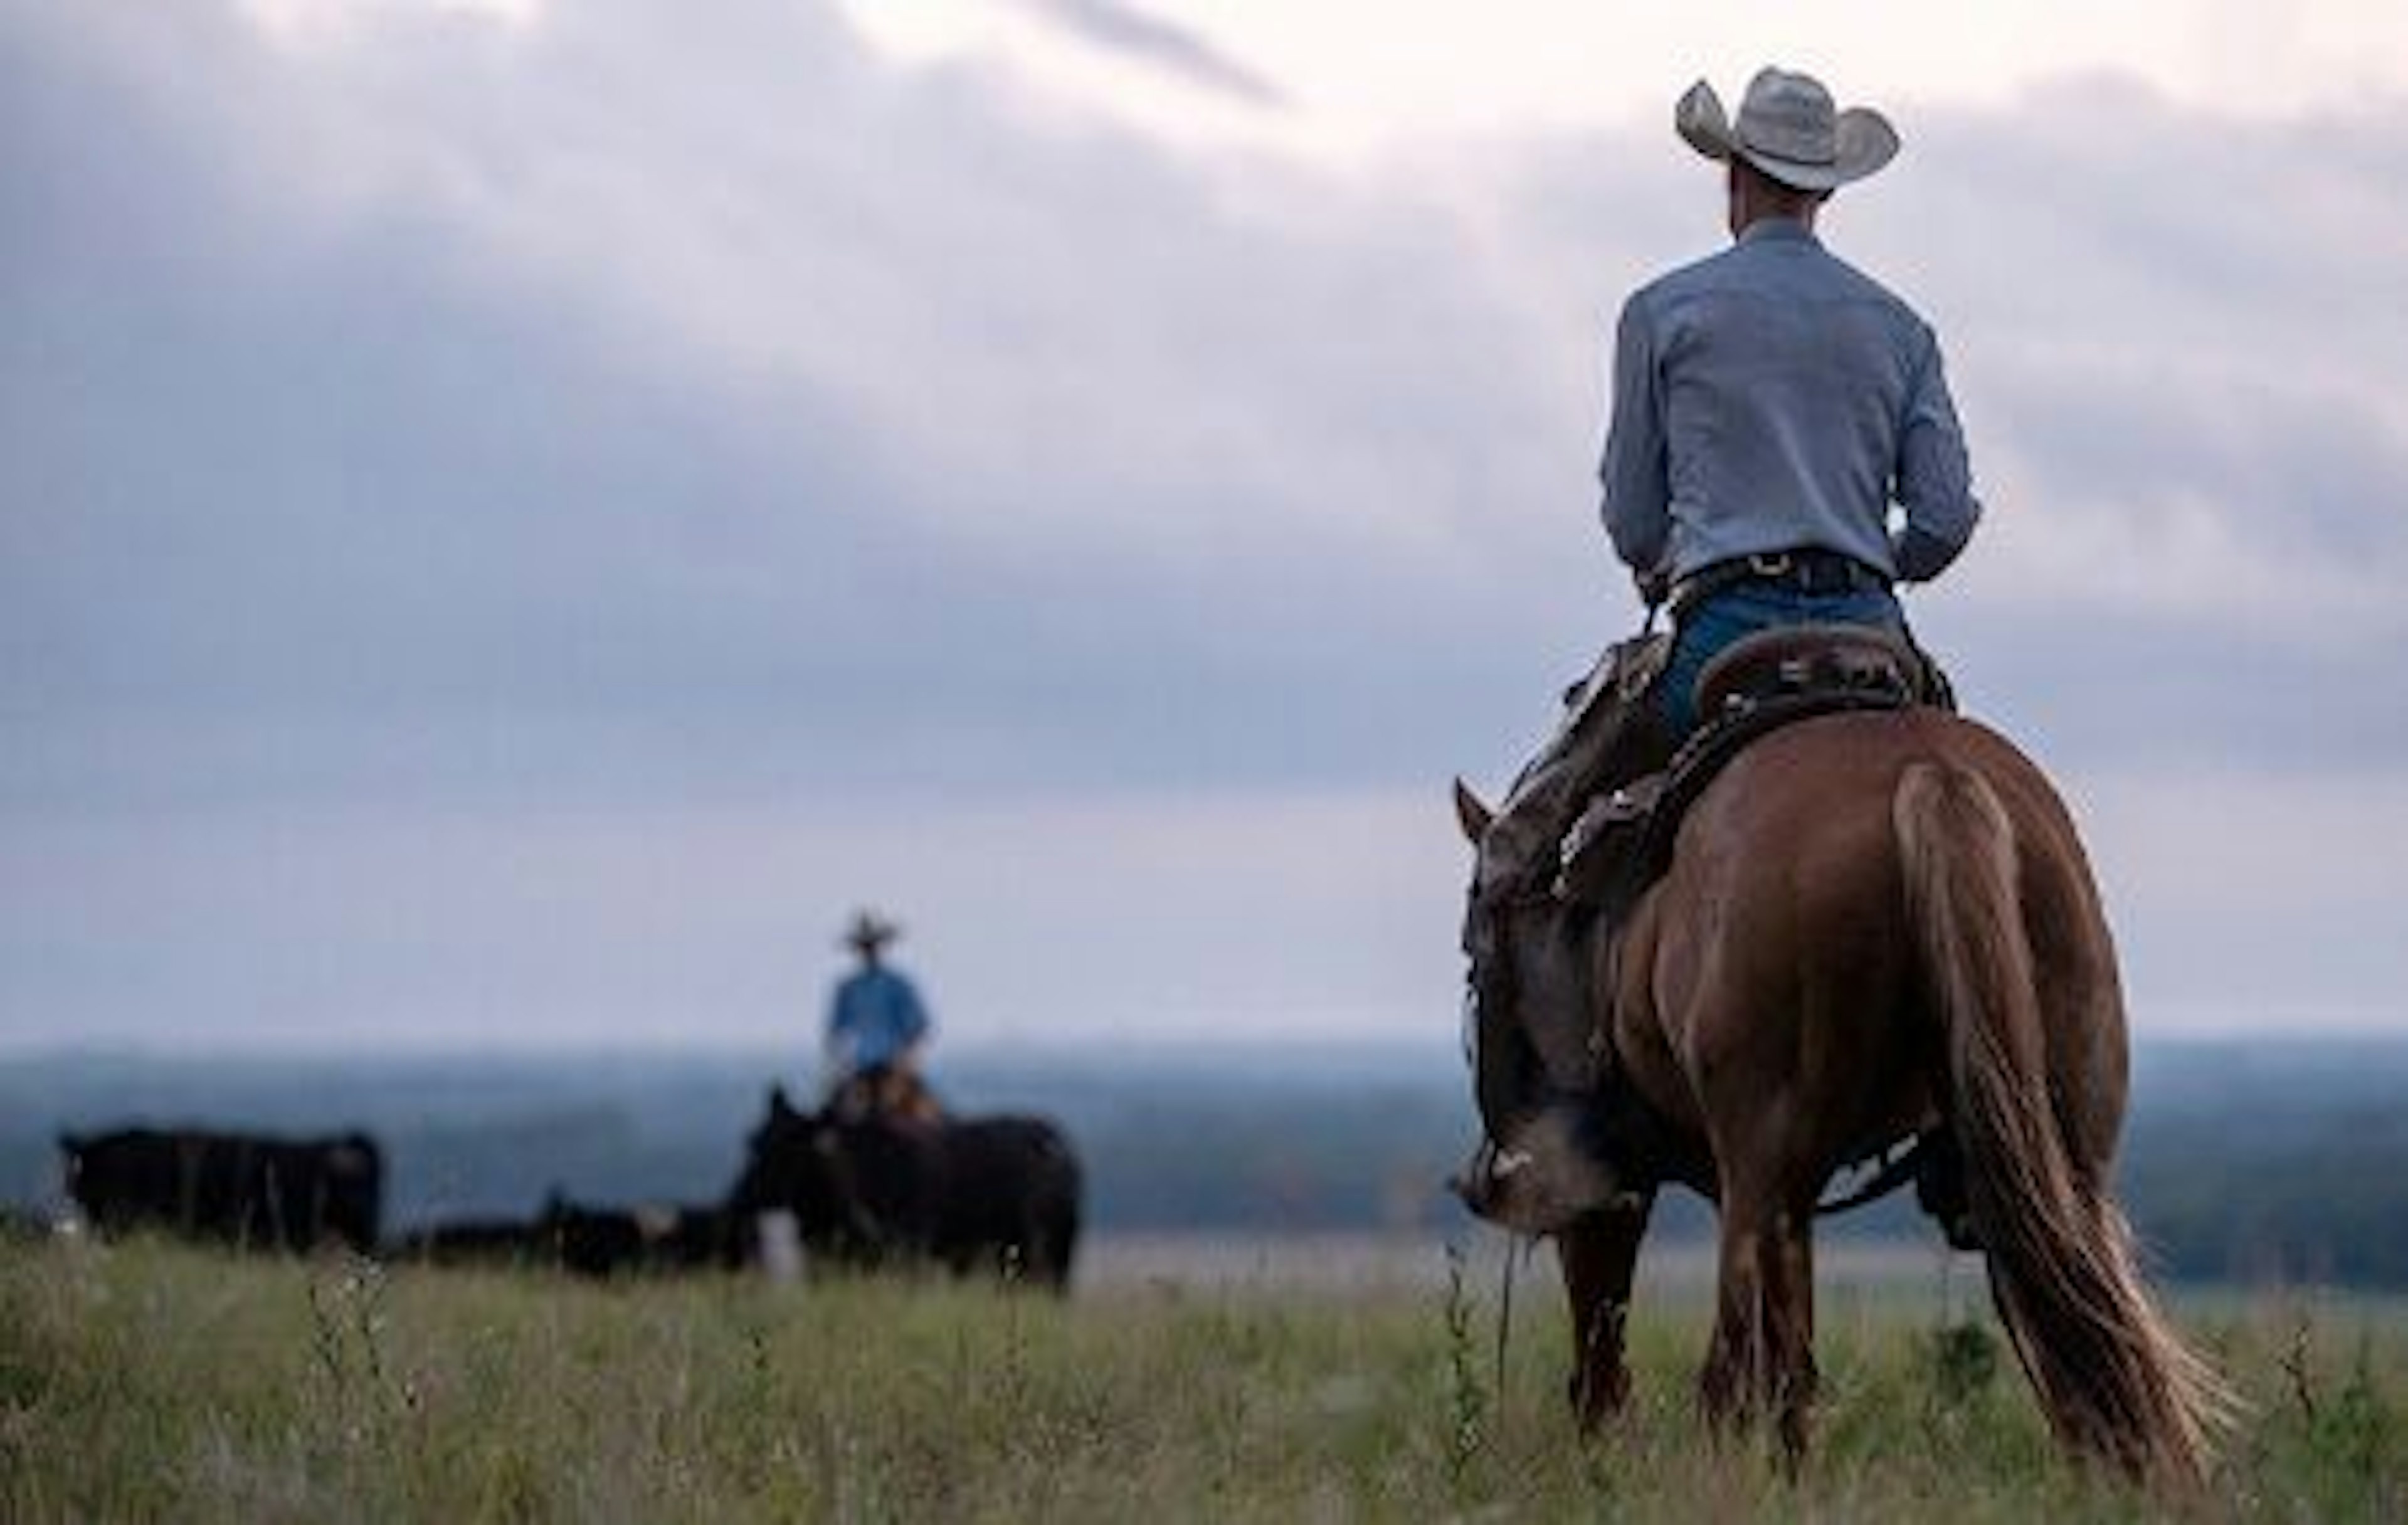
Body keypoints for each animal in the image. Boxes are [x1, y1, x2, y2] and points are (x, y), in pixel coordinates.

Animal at [722, 1074, 1084, 1291]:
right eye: (753, 1141)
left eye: (786, 1148)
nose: (737, 1199)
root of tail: (1060, 1144)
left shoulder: (910, 1258)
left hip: (1051, 1256)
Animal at [1435, 703, 2225, 1484]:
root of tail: (1934, 771)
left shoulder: (1610, 1182)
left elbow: (1611, 1338)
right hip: (2057, 1146)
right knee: (2075, 1335)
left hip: (1759, 1175)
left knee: (1739, 1370)